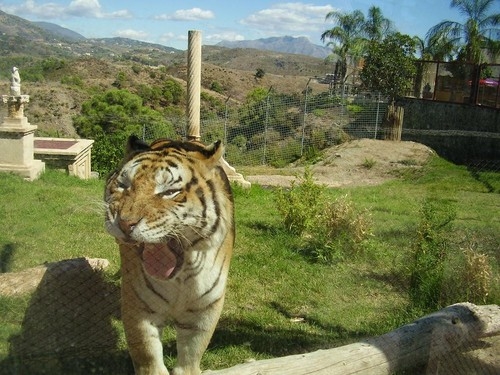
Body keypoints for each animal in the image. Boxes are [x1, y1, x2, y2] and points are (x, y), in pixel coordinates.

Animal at [104, 136, 236, 375]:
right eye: (124, 185)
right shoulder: (139, 307)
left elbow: (192, 352)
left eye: (169, 192)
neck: (182, 275)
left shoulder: (204, 309)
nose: (125, 223)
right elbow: (147, 352)